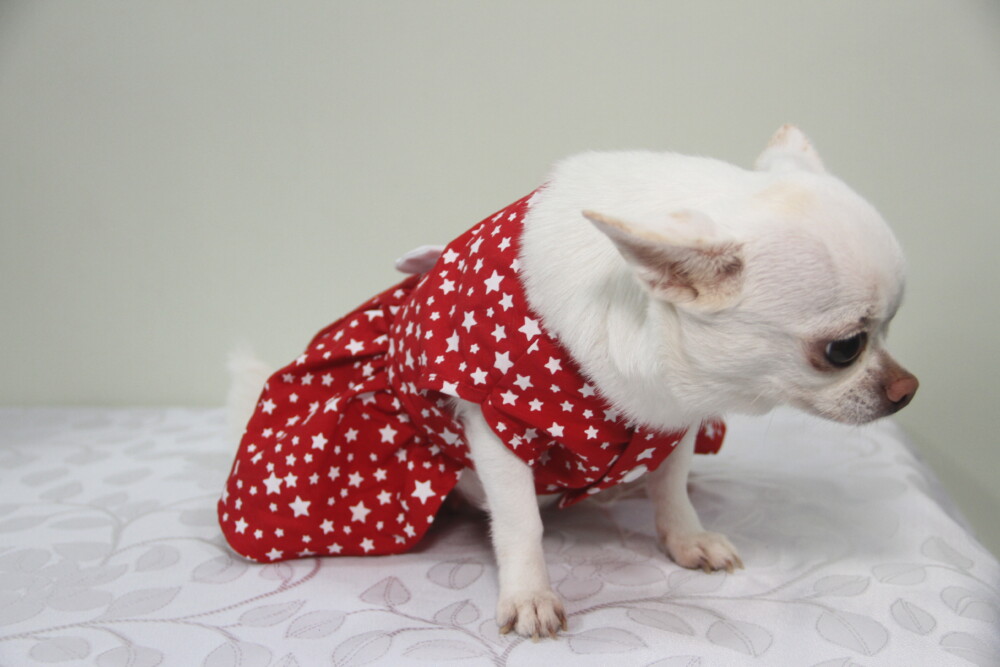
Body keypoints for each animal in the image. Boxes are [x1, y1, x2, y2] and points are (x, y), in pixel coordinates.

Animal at [218, 125, 917, 640]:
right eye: (844, 349)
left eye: (891, 328)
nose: (908, 390)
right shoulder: (494, 423)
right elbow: (520, 519)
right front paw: (530, 593)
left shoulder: (673, 419)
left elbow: (672, 484)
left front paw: (685, 538)